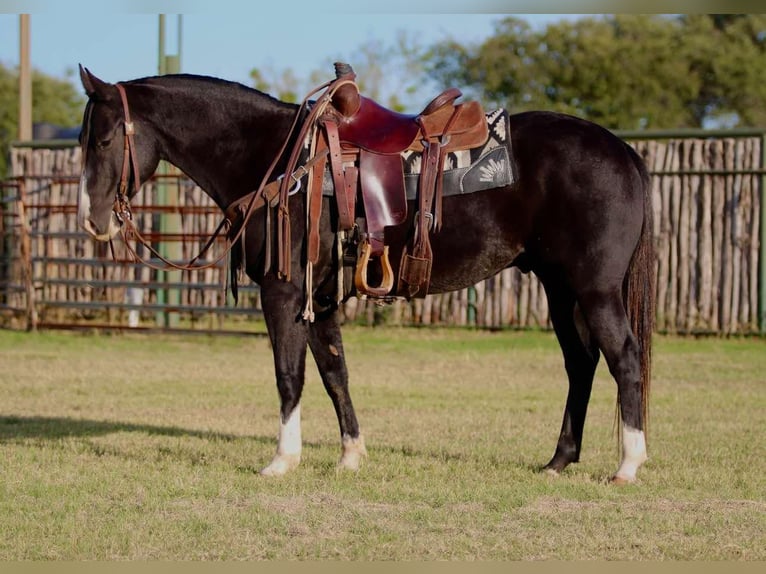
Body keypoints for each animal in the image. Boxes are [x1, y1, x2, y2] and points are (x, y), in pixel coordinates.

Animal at [76, 66, 654, 483]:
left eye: (101, 141)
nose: (93, 219)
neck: (278, 160)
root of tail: (624, 151)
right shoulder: (320, 298)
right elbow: (335, 372)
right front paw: (351, 455)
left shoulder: (283, 293)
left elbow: (289, 375)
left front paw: (282, 460)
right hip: (560, 290)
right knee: (581, 365)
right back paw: (559, 460)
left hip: (595, 290)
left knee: (624, 360)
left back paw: (627, 465)